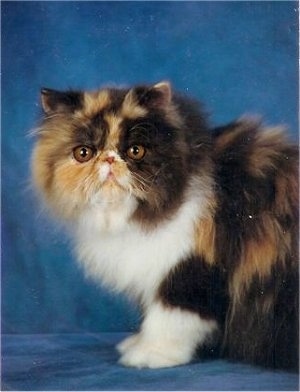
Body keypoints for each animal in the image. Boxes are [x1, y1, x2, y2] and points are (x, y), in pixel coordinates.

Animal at [31, 81, 298, 370]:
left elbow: (170, 318)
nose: (109, 159)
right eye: (84, 153)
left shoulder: (189, 268)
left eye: (135, 150)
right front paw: (136, 343)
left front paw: (151, 355)